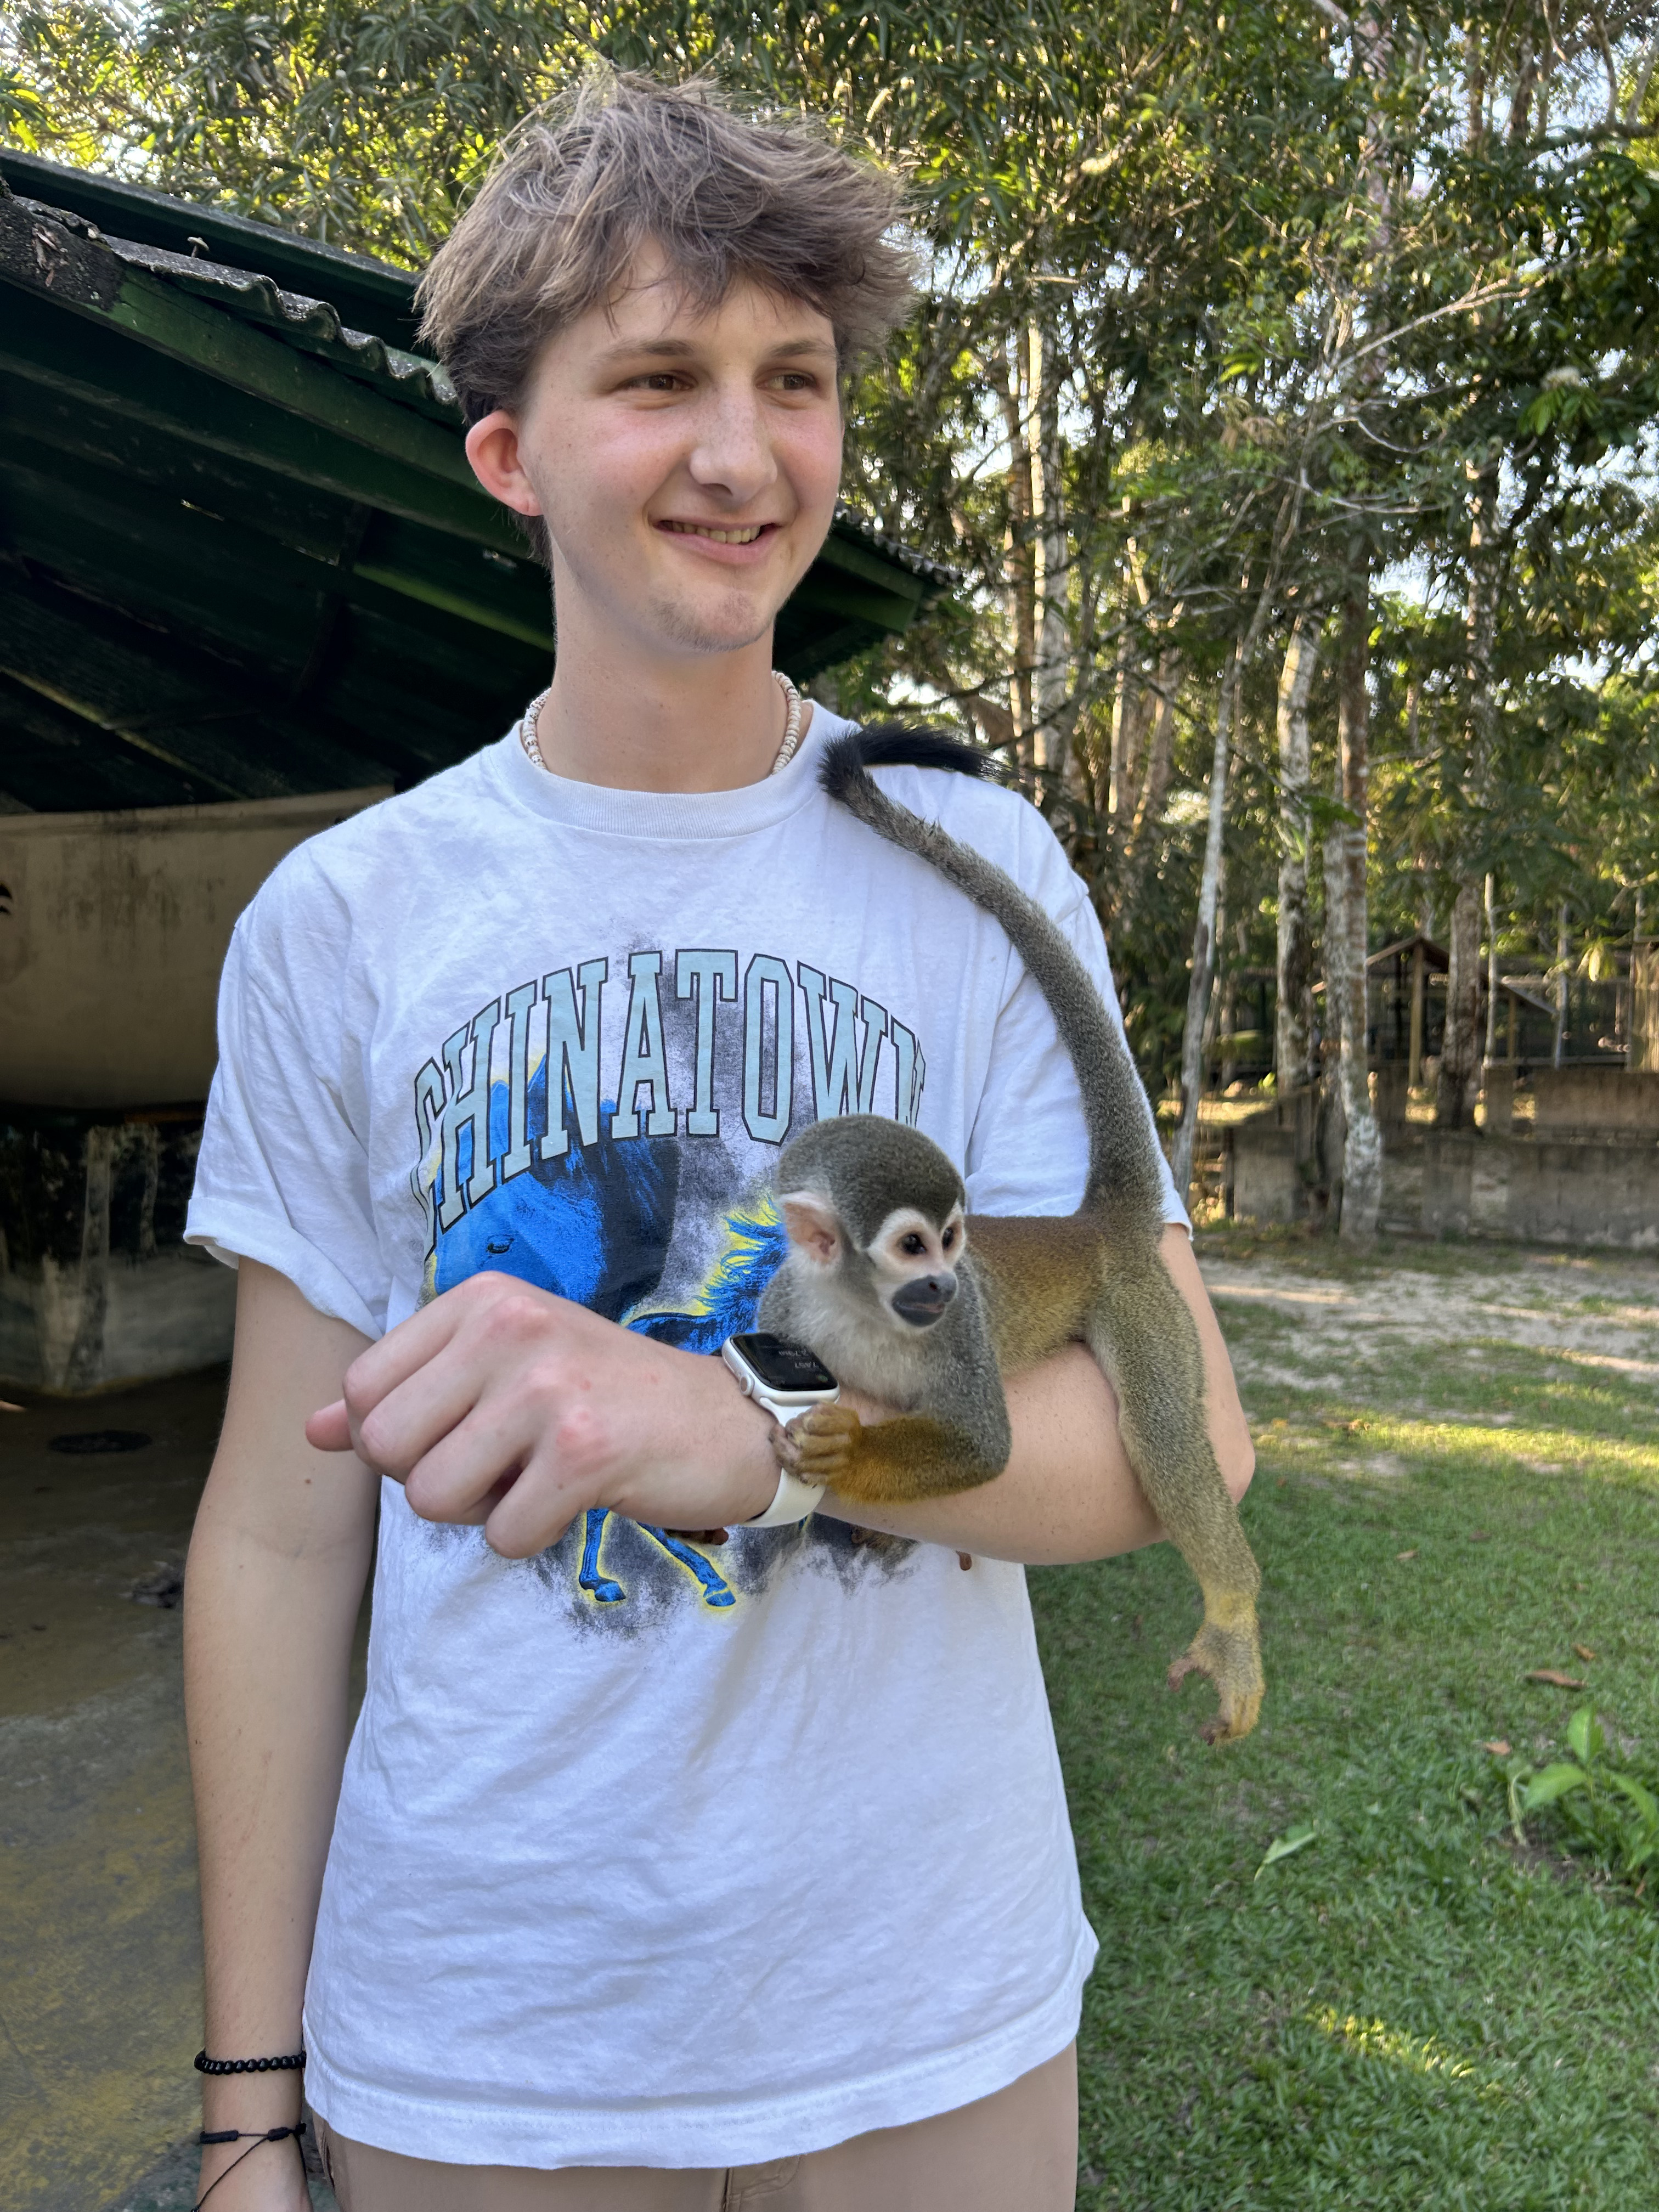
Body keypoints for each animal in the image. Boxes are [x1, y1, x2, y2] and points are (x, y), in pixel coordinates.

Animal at [754, 725, 1263, 1745]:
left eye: (956, 1240)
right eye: (913, 1247)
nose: (950, 1286)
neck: (861, 1311)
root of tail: (1092, 1221)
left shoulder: (957, 1337)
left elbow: (985, 1445)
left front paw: (844, 1457)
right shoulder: (784, 1304)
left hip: (1142, 1303)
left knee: (1159, 1429)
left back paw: (1233, 1609)